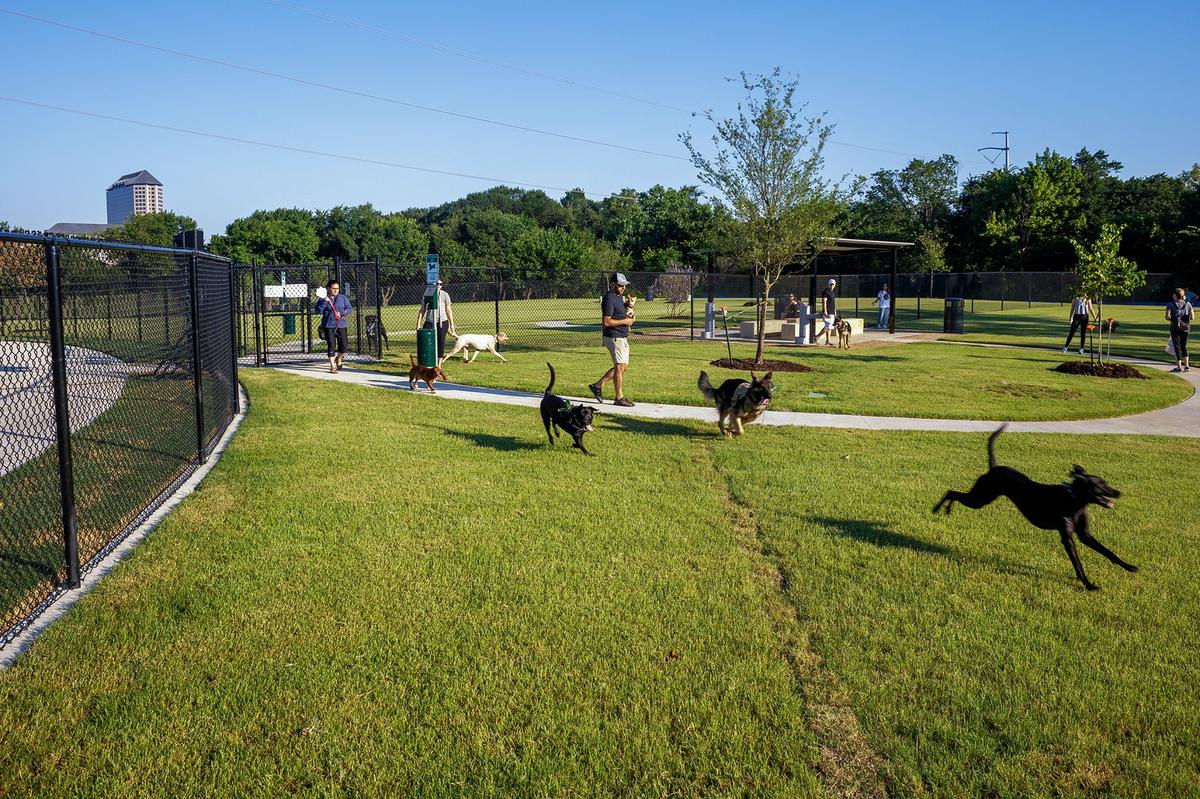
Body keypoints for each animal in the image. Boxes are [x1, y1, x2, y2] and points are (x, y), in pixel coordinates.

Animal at [931, 427, 1137, 587]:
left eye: (1105, 483)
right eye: (1100, 485)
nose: (1118, 492)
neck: (1075, 500)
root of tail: (993, 468)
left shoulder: (1085, 535)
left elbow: (1108, 552)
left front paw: (1129, 566)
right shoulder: (1067, 538)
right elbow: (1078, 563)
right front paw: (1088, 584)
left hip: (982, 497)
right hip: (979, 499)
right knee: (951, 492)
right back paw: (939, 508)